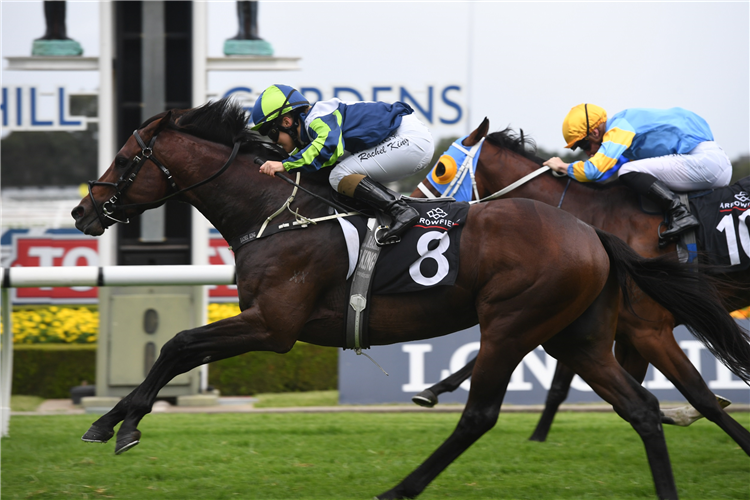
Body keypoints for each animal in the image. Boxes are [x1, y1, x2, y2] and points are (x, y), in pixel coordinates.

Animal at [412, 118, 750, 446]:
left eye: (441, 167)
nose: (413, 206)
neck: (592, 215)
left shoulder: (649, 330)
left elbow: (701, 397)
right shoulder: (612, 329)